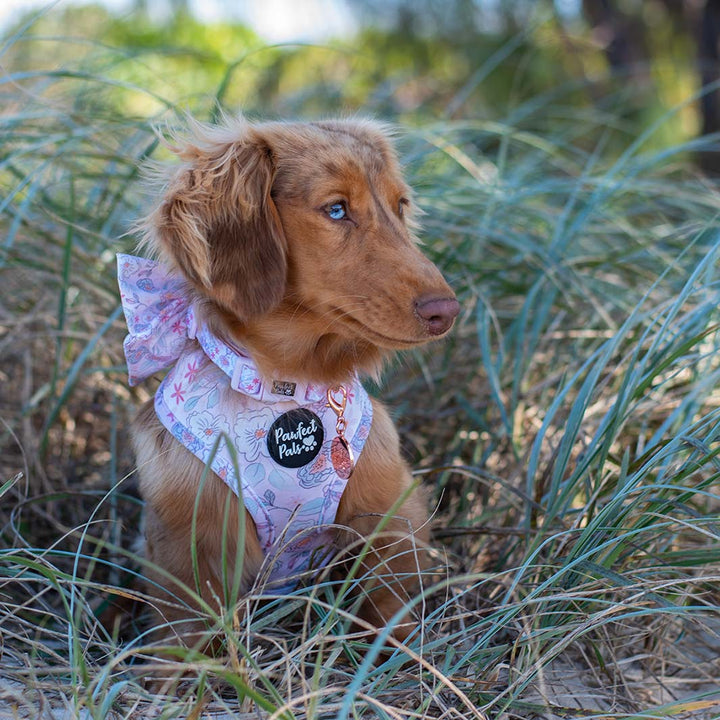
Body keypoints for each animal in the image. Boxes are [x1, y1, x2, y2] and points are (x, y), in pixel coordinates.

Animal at [116, 118, 458, 648]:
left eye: (400, 205)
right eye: (336, 209)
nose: (447, 311)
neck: (289, 386)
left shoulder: (391, 517)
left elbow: (390, 614)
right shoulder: (188, 541)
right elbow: (184, 641)